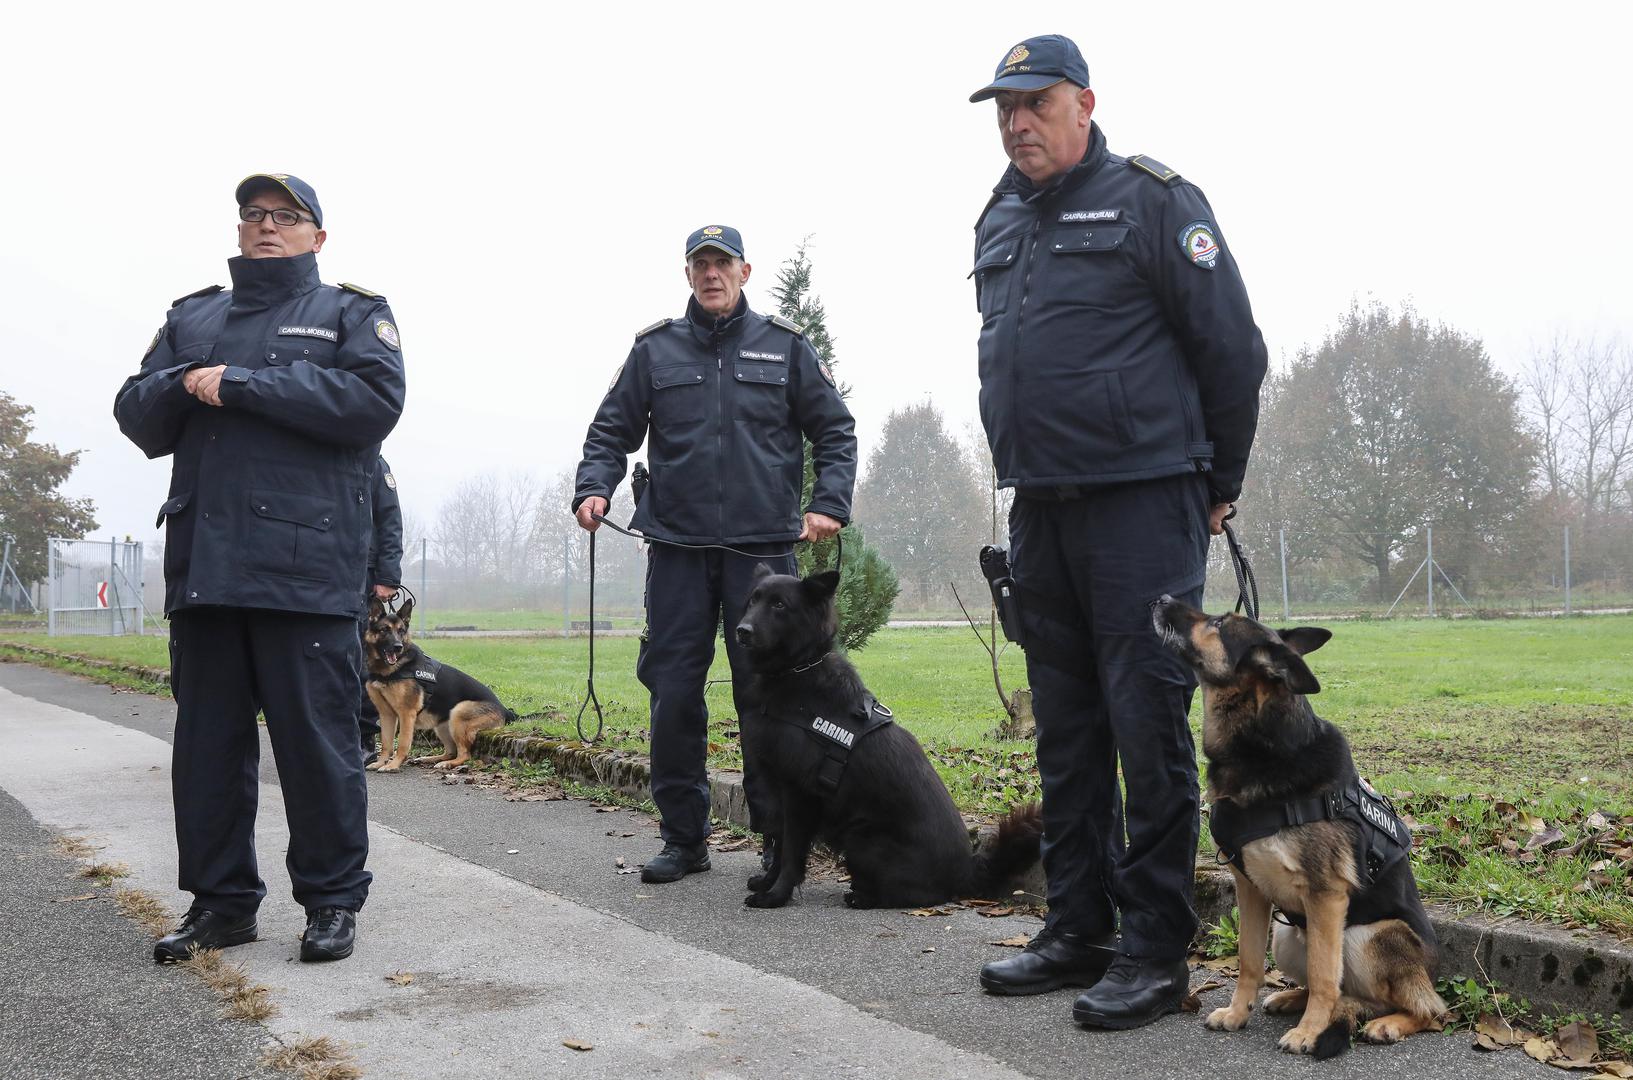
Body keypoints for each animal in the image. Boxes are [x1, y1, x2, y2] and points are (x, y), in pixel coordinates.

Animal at [734, 565, 1038, 908]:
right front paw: (766, 883)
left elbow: (790, 852)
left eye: (779, 605)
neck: (799, 669)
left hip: (859, 837)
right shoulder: (782, 791)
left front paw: (776, 895)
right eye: (753, 600)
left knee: (919, 896)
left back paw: (862, 897)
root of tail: (967, 872)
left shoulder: (799, 795)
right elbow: (780, 840)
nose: (741, 631)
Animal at [1149, 598, 1443, 1058]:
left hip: (1368, 936)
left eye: (1218, 623)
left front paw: (1309, 1032)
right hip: (1287, 935)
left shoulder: (1326, 895)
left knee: (1425, 1008)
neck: (1263, 746)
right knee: (1343, 991)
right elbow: (1249, 961)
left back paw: (1388, 1023)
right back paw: (1290, 999)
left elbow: (1324, 976)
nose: (1162, 599)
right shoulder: (1249, 887)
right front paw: (1238, 1013)